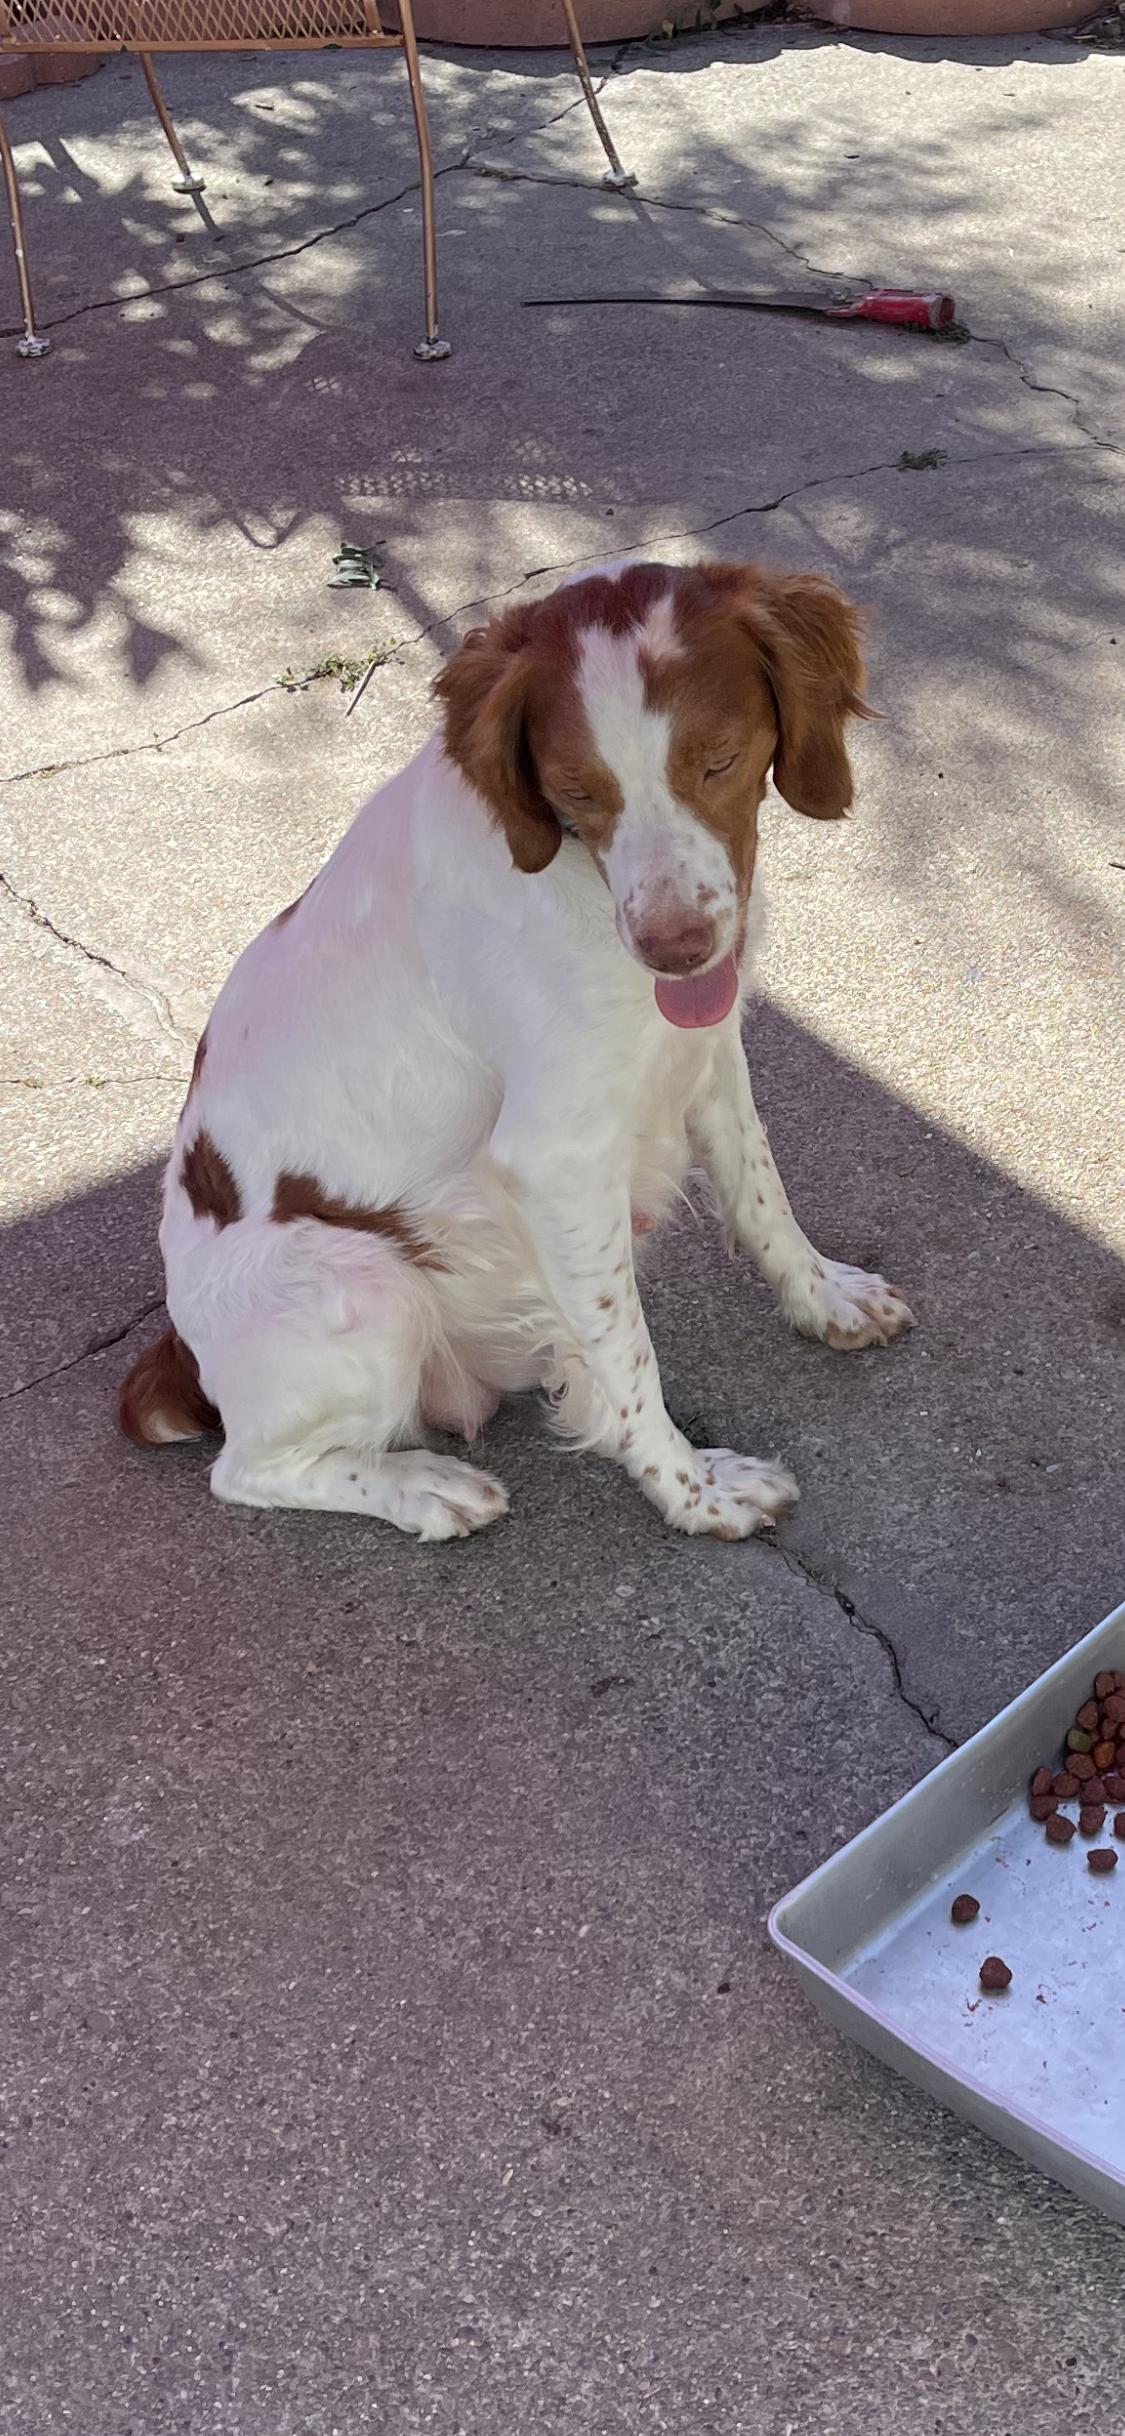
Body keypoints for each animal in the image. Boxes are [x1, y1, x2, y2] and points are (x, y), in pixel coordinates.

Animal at [119, 557, 913, 1542]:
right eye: (577, 792)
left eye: (719, 759)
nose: (674, 949)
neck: (578, 885)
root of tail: (177, 1359)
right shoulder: (555, 1159)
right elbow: (630, 1354)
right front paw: (691, 1491)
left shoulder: (702, 1054)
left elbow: (762, 1198)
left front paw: (825, 1297)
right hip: (366, 1283)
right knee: (248, 1469)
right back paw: (425, 1487)